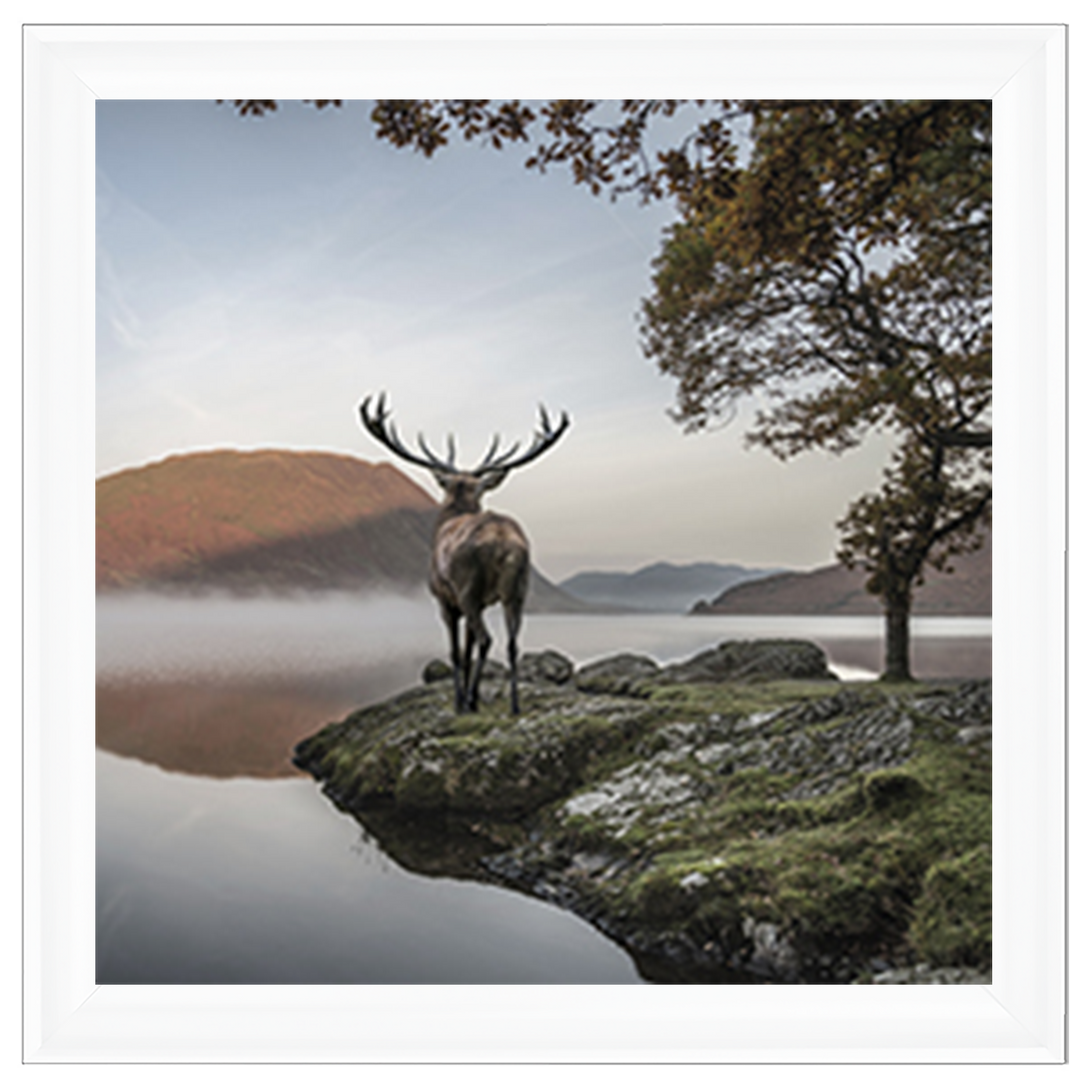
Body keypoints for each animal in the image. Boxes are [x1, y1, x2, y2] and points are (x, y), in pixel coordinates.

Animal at [358, 393, 570, 715]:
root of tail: (503, 541)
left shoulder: (445, 599)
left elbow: (457, 652)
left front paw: (461, 700)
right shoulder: (481, 603)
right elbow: (467, 650)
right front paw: (474, 698)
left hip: (469, 587)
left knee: (487, 640)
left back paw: (470, 699)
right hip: (518, 590)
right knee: (512, 644)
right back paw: (514, 705)